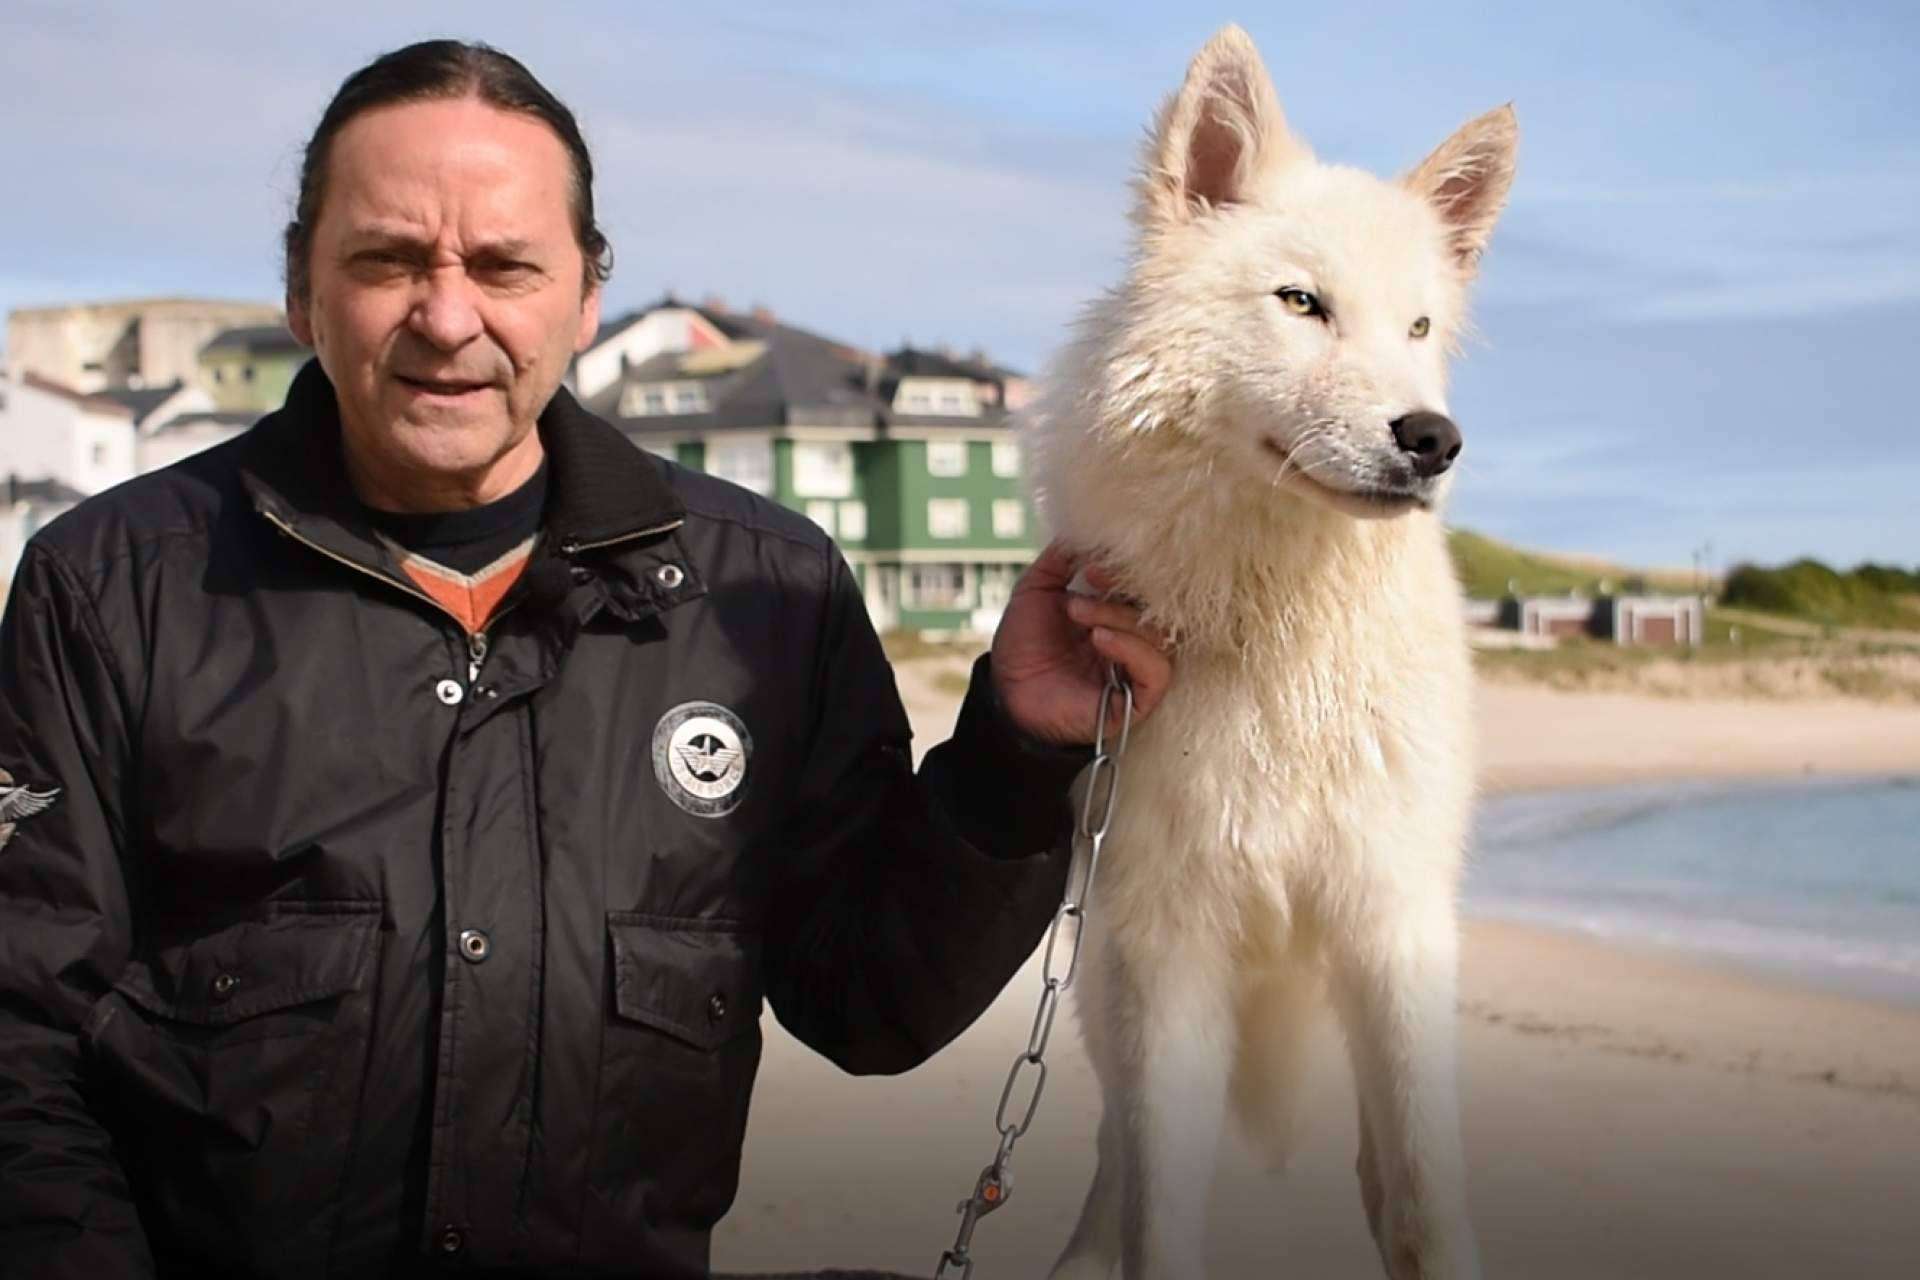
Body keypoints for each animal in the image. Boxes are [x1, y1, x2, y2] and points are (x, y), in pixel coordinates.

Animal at [1028, 25, 1516, 1280]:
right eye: (1302, 303)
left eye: (1419, 329)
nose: (1432, 439)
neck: (1277, 629)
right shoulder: (1170, 949)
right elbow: (1161, 1207)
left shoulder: (1393, 924)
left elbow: (1425, 1190)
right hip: (1107, 990)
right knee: (1114, 1155)